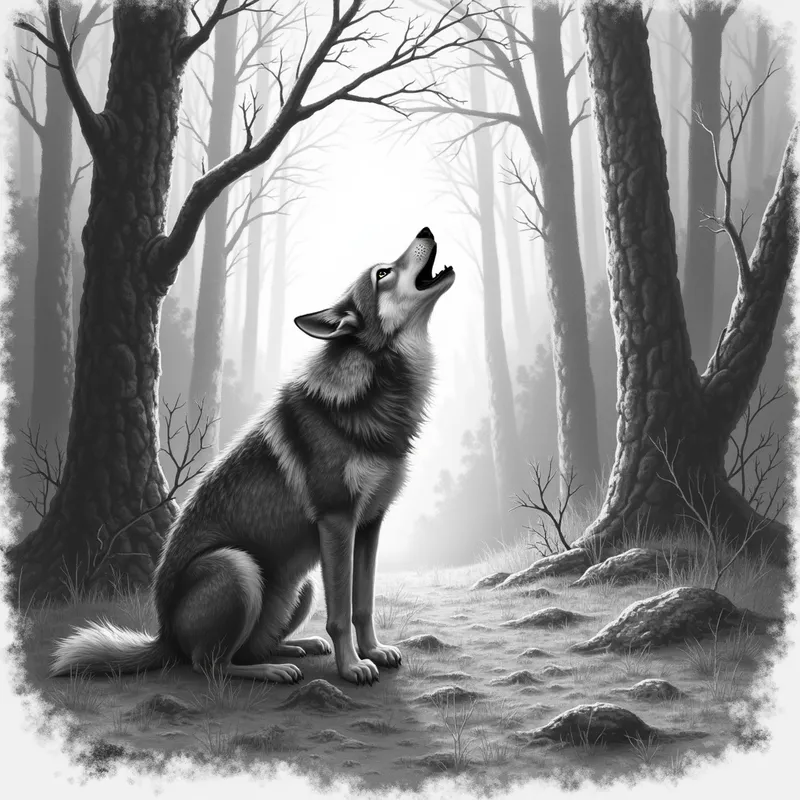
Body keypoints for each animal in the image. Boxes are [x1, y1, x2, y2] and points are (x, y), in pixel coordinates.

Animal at [51, 228, 455, 686]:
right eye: (382, 273)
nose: (426, 230)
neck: (376, 389)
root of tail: (164, 637)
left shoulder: (369, 525)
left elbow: (363, 604)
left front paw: (373, 651)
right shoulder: (337, 522)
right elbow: (340, 613)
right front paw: (352, 666)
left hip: (301, 584)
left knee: (246, 649)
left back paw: (298, 646)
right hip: (239, 567)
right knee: (211, 665)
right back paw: (274, 670)